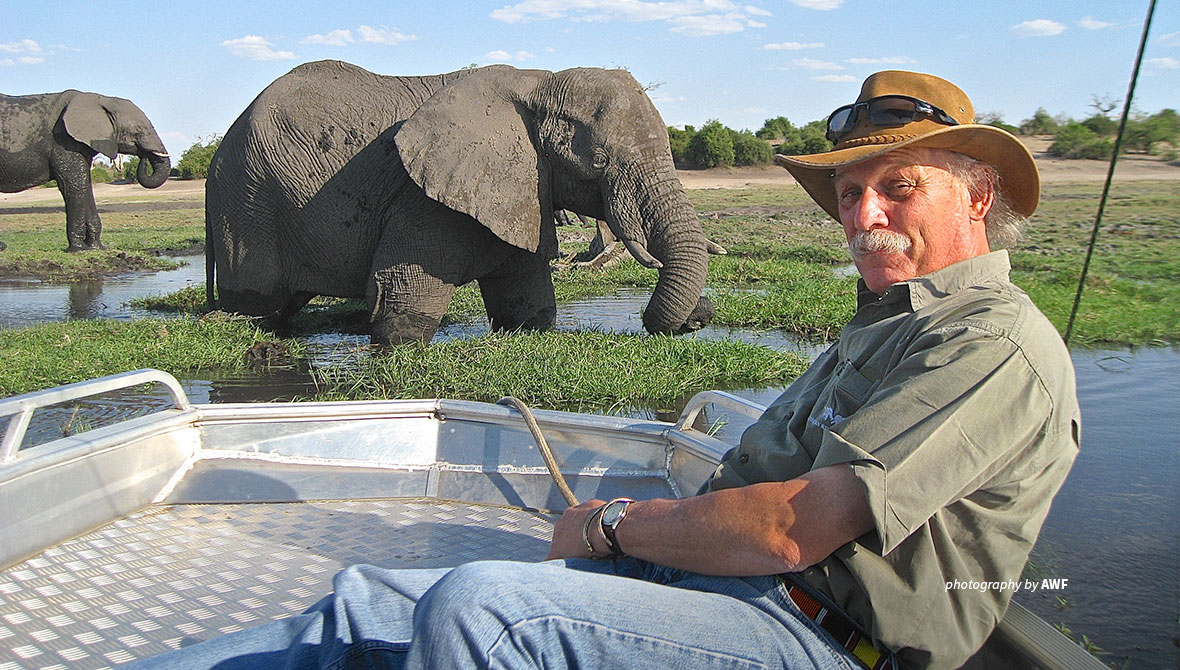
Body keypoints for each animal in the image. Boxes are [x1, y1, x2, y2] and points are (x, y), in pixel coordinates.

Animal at [0, 91, 171, 251]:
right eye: (139, 129)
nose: (144, 157)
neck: (102, 99)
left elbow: (86, 185)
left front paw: (97, 247)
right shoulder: (63, 141)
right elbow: (74, 184)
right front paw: (78, 249)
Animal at [207, 58, 712, 344]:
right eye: (600, 161)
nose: (700, 318)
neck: (539, 83)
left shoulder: (523, 191)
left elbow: (529, 309)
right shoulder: (421, 199)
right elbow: (404, 307)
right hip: (247, 202)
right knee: (258, 304)